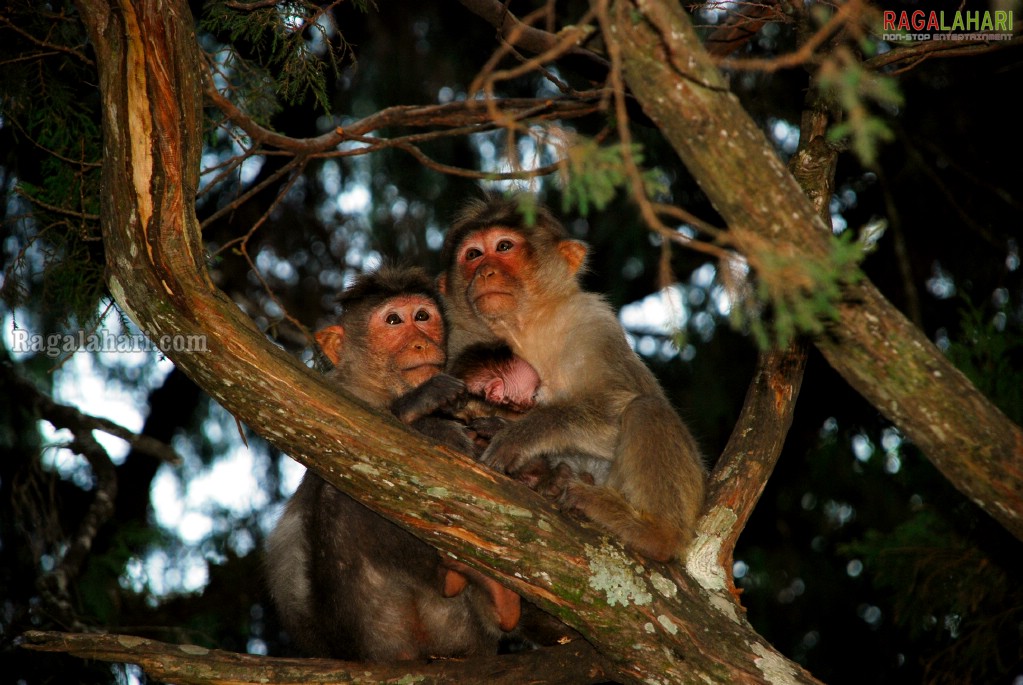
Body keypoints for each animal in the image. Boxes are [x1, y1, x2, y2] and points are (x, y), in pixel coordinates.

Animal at [263, 265, 519, 662]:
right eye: (394, 321)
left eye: (423, 317)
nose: (421, 343)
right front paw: (420, 403)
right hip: (364, 627)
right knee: (338, 498)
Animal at [439, 194, 712, 564]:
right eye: (473, 254)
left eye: (504, 246)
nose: (485, 271)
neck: (524, 328)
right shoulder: (456, 339)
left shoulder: (594, 323)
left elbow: (616, 405)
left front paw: (521, 431)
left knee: (646, 409)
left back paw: (656, 533)